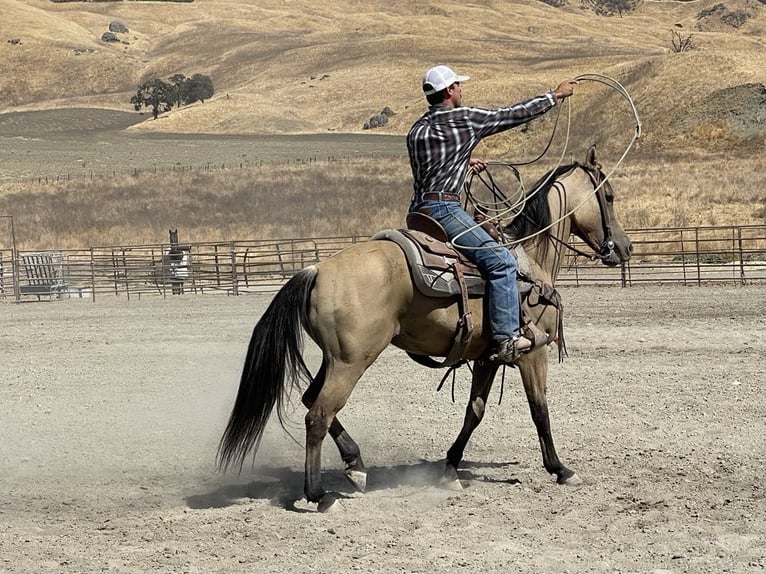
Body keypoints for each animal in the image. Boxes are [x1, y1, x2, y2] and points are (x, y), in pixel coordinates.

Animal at [218, 147, 636, 512]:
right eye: (609, 196)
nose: (625, 248)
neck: (528, 263)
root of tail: (316, 269)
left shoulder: (487, 357)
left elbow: (474, 411)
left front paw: (450, 467)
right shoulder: (534, 352)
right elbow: (540, 411)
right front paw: (561, 469)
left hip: (334, 358)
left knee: (310, 400)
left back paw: (356, 465)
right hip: (352, 361)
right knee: (317, 414)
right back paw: (320, 495)